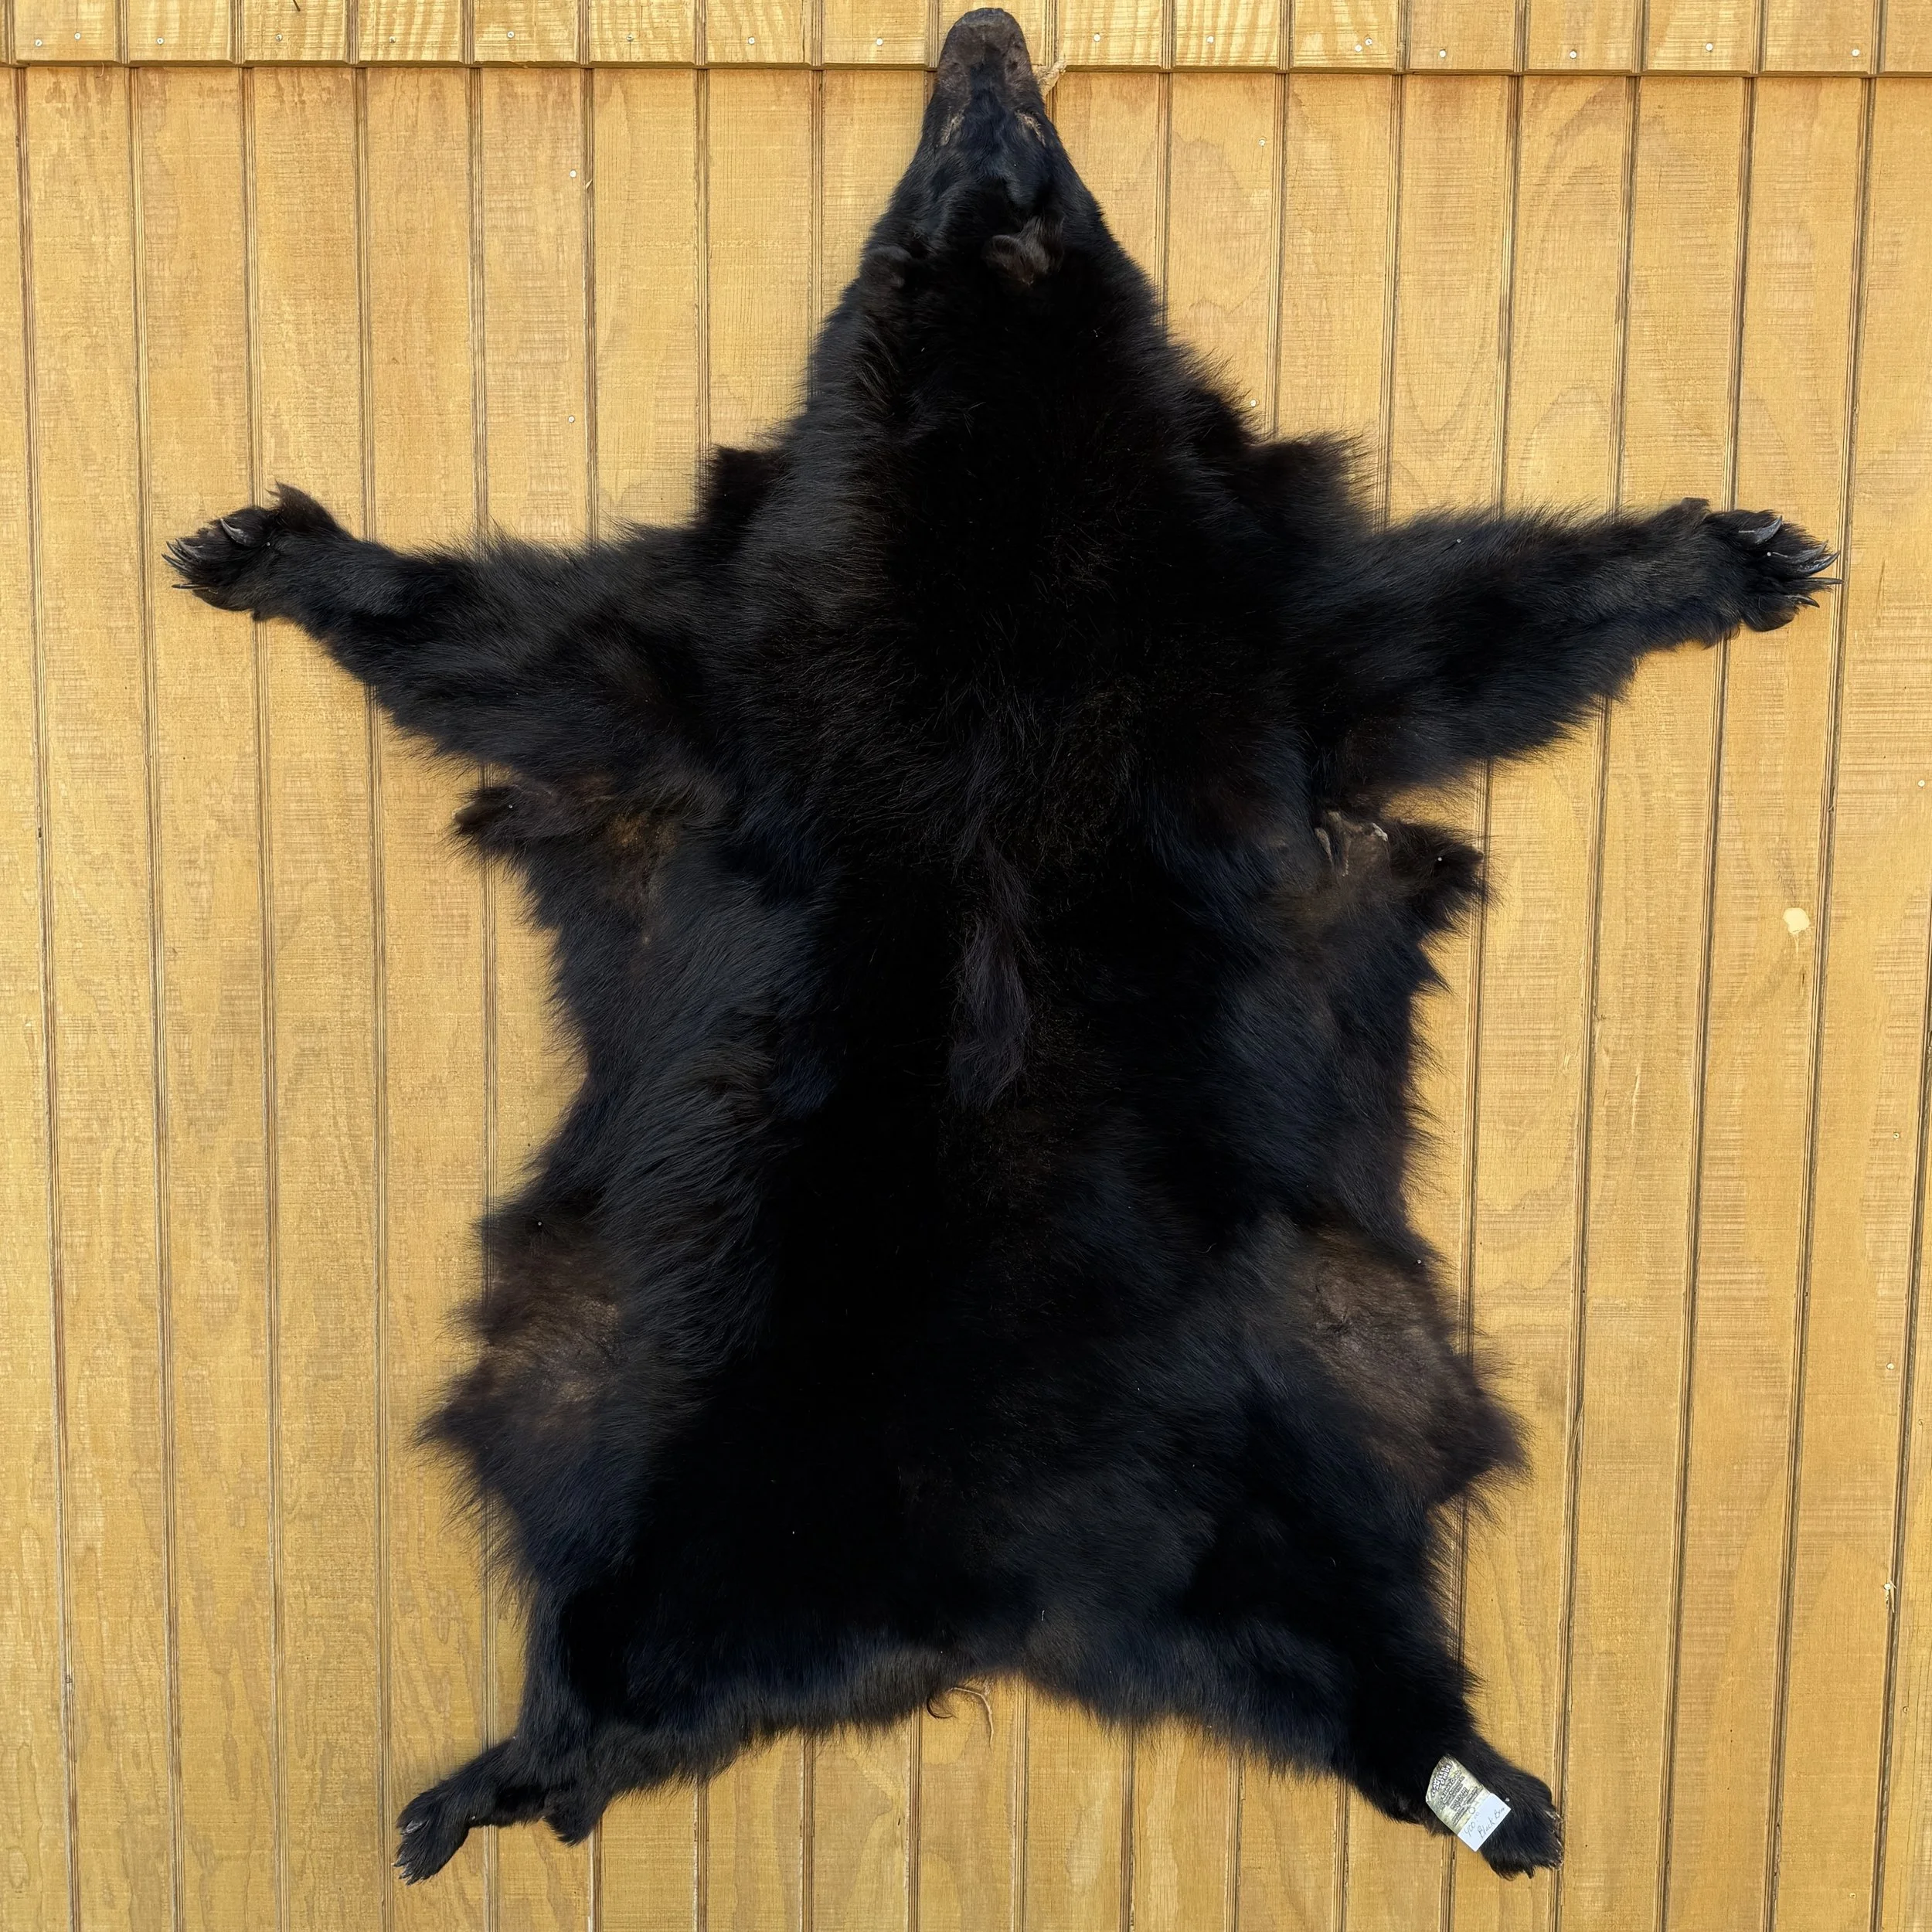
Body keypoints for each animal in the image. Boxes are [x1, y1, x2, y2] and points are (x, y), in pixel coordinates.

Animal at [169, 8, 1833, 1886]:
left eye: (1031, 162)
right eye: (959, 166)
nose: (982, 36)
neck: (992, 514)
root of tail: (1004, 1603)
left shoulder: (1254, 635)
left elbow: (1473, 625)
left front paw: (1725, 554)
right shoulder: (729, 652)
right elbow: (513, 644)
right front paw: (279, 549)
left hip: (1325, 1377)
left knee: (1349, 1611)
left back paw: (1475, 1777)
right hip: (631, 1396)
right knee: (623, 1646)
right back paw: (498, 1770)